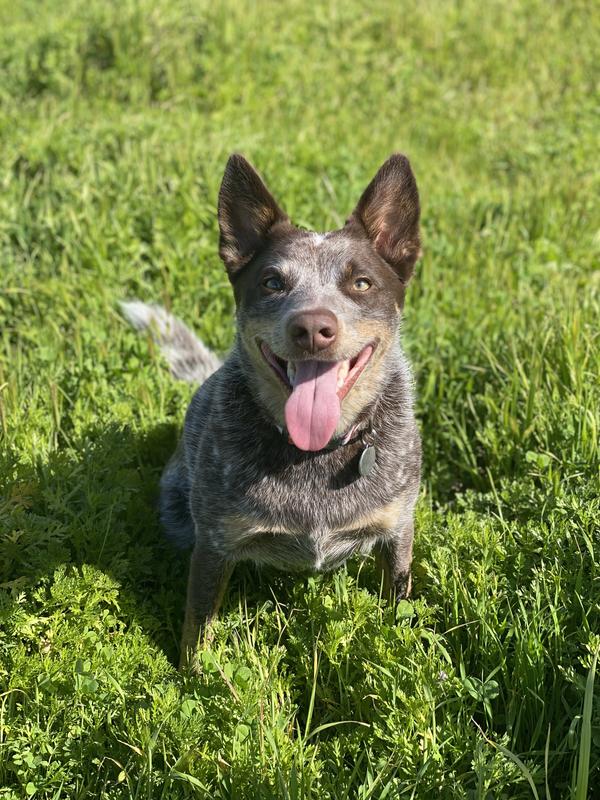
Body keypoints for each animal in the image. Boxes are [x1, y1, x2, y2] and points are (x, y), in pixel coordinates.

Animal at [120, 155, 422, 668]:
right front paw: (192, 677)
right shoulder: (215, 543)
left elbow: (397, 603)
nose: (313, 327)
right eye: (272, 282)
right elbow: (197, 627)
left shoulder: (398, 529)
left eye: (361, 282)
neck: (315, 453)